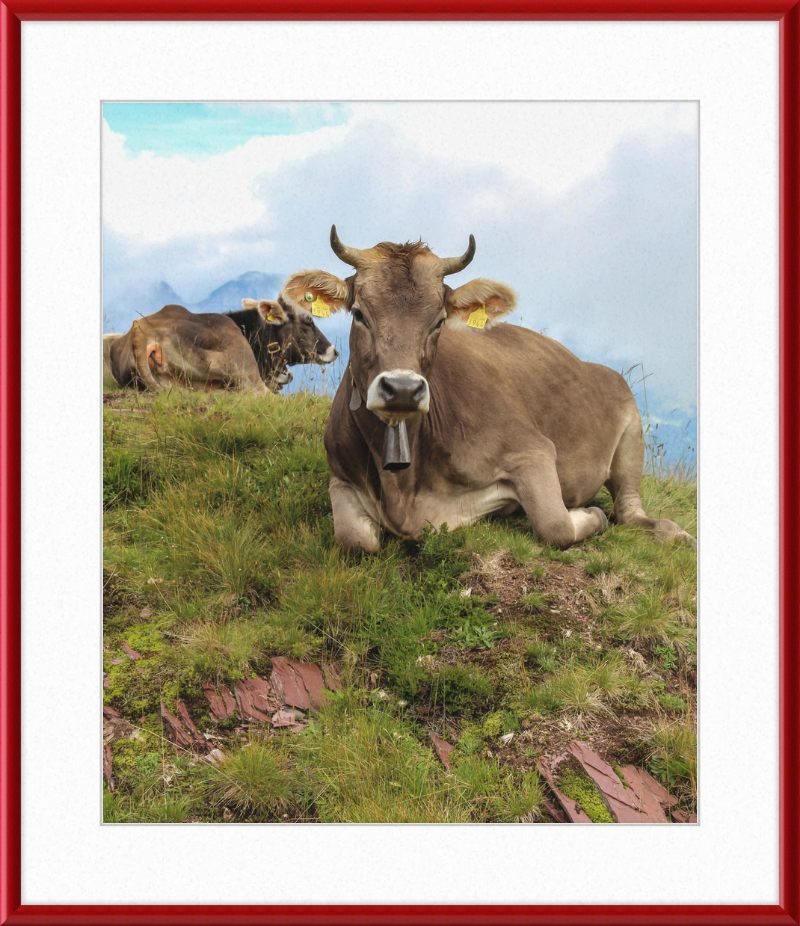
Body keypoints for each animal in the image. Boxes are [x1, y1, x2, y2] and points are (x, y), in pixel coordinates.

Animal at [288, 228, 692, 556]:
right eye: (359, 313)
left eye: (439, 321)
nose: (402, 389)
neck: (402, 488)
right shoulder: (341, 476)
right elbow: (355, 540)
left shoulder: (532, 451)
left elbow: (556, 525)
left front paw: (590, 514)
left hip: (632, 431)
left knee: (629, 509)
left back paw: (673, 532)